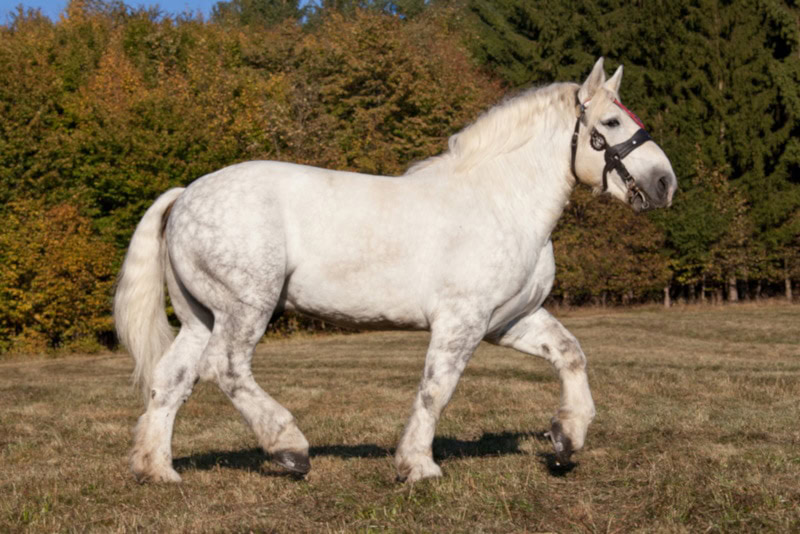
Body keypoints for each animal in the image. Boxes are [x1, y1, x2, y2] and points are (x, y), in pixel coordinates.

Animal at [114, 58, 677, 483]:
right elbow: (436, 388)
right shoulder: (461, 322)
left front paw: (566, 437)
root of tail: (186, 194)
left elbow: (570, 354)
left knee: (172, 379)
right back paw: (289, 447)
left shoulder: (508, 321)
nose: (665, 183)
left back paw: (157, 470)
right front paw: (418, 465)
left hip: (200, 316)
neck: (500, 201)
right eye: (611, 125)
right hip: (245, 307)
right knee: (225, 368)